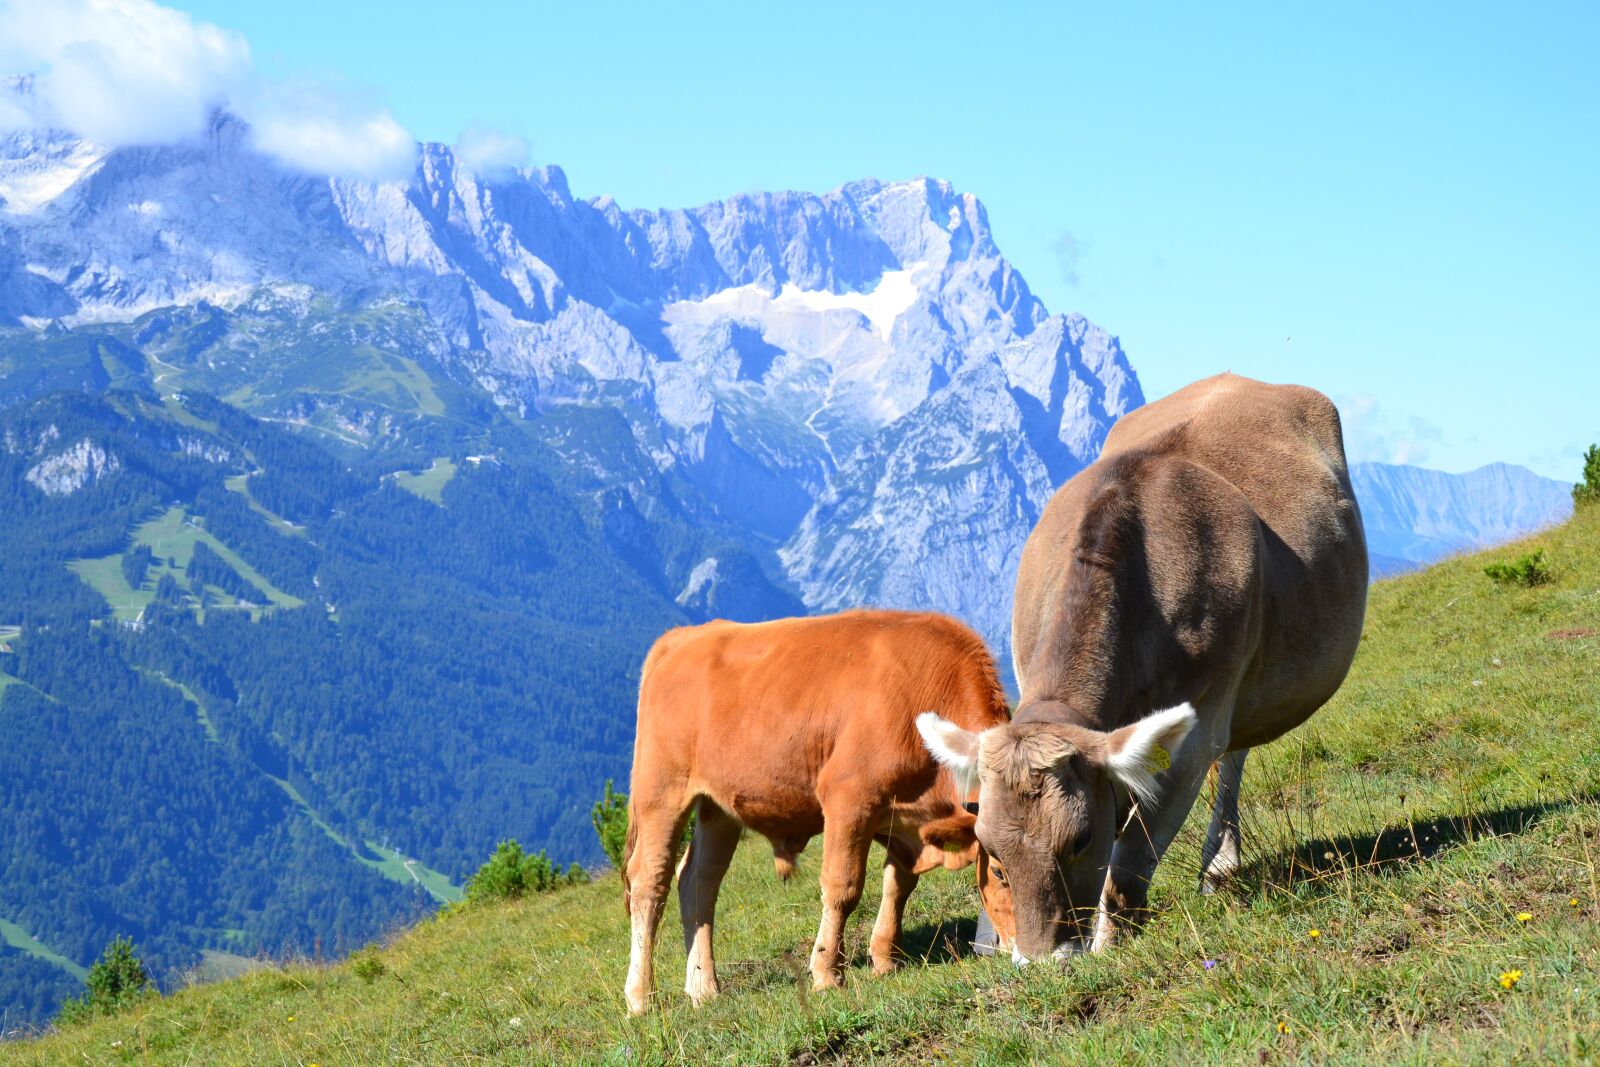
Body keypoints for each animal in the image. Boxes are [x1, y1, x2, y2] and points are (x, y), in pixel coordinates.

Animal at [621, 609, 1015, 1015]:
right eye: (1000, 873)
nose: (1031, 955)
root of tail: (683, 638)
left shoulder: (903, 821)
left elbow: (899, 885)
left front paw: (885, 958)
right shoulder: (849, 799)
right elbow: (843, 888)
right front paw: (827, 973)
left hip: (718, 807)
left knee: (699, 880)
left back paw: (703, 987)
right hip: (661, 793)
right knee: (649, 883)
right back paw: (640, 997)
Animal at [917, 373, 1368, 962]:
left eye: (1080, 839)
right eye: (991, 850)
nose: (1041, 962)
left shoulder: (1194, 733)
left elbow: (1128, 866)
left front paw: (1108, 945)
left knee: (1232, 758)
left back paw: (1219, 866)